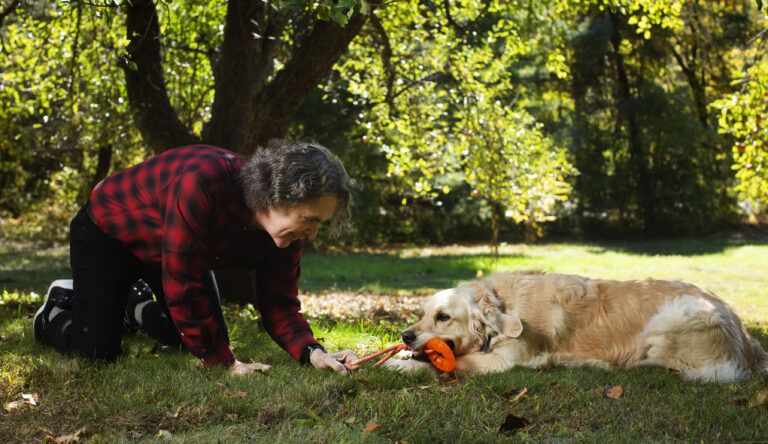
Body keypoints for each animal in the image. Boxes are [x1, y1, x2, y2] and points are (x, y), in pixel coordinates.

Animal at [390, 268, 768, 384]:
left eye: (443, 317)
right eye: (422, 313)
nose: (406, 335)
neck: (503, 304)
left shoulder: (505, 361)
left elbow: (452, 364)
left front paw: (402, 365)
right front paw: (400, 357)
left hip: (678, 315)